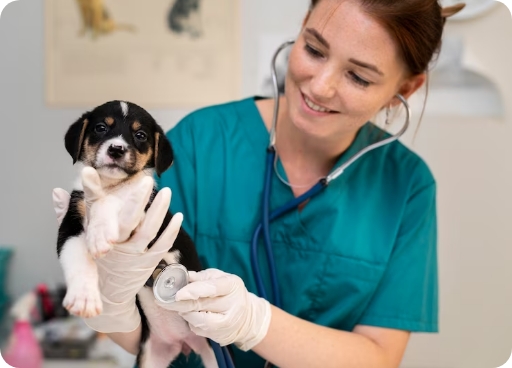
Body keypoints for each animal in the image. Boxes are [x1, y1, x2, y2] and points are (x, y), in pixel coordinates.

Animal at [57, 100, 218, 368]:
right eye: (101, 128)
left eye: (140, 135)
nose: (116, 149)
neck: (108, 185)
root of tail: (183, 342)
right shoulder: (70, 226)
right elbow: (76, 259)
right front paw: (83, 297)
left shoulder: (147, 215)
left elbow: (117, 200)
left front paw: (101, 230)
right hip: (150, 357)